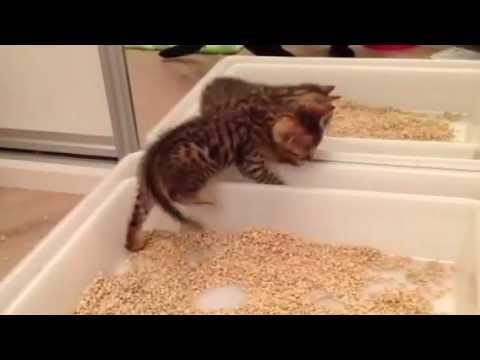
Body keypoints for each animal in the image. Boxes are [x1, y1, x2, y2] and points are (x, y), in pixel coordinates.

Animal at [125, 102, 334, 252]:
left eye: (312, 152)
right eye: (304, 154)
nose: (309, 160)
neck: (265, 121)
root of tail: (155, 153)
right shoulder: (251, 162)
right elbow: (272, 179)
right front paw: (285, 179)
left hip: (145, 190)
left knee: (136, 216)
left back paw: (134, 244)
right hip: (202, 164)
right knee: (176, 194)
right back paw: (205, 200)